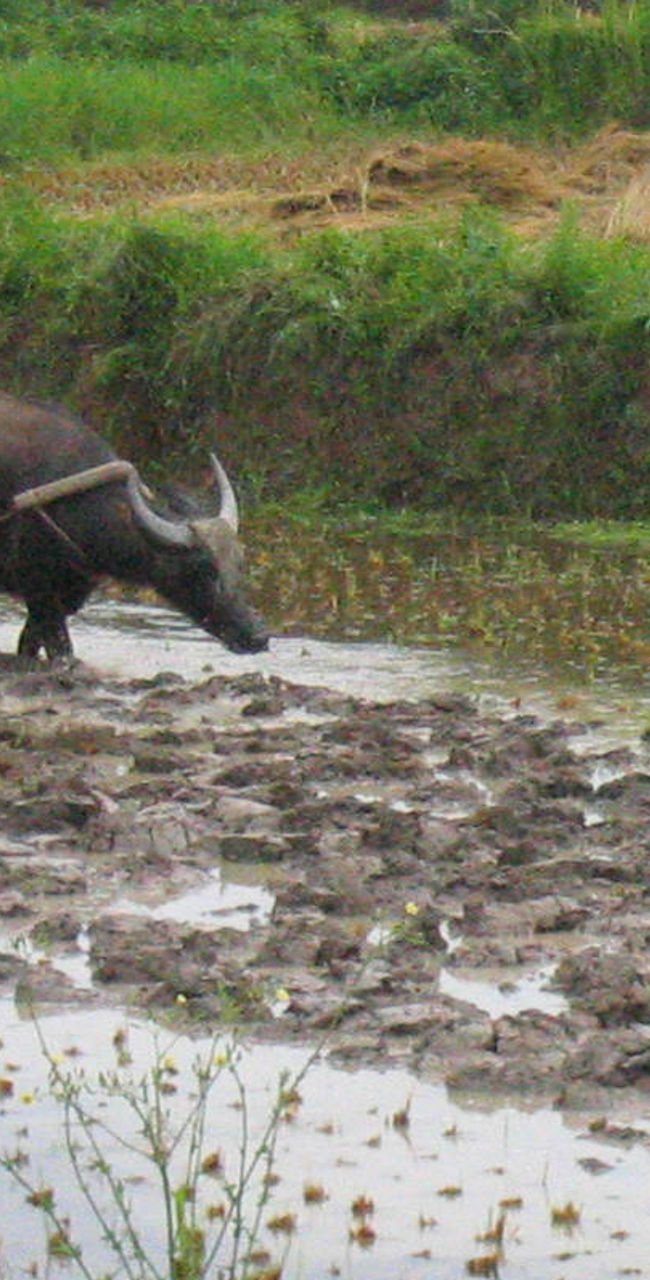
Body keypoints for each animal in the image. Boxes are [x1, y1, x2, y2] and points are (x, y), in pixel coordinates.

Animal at [0, 393, 270, 661]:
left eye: (239, 563)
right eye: (203, 569)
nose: (258, 637)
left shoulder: (69, 596)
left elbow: (30, 645)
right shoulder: (41, 595)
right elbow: (60, 650)